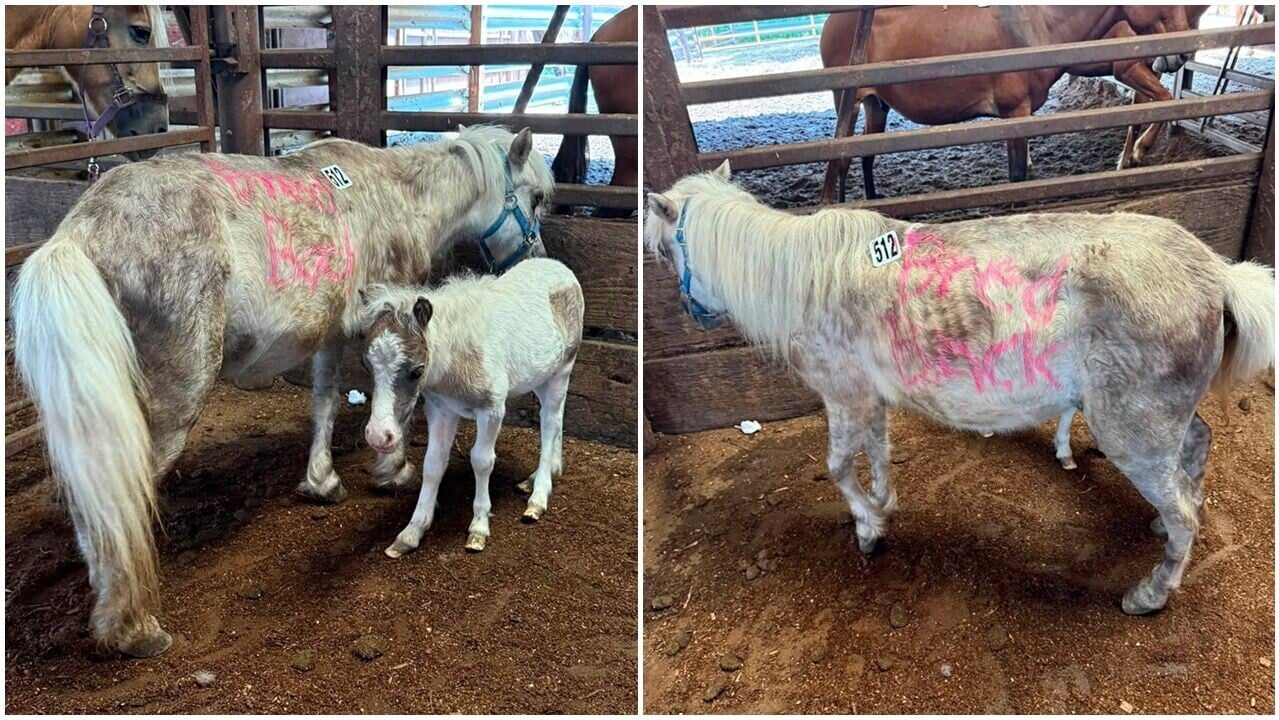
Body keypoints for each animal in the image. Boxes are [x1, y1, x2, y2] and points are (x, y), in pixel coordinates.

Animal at [11, 125, 555, 658]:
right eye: (536, 197)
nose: (536, 256)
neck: (399, 194)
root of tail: (81, 230)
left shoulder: (331, 333)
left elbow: (325, 402)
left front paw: (321, 479)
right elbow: (391, 402)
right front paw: (392, 468)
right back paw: (133, 626)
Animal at [359, 258, 582, 557]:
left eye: (417, 371)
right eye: (367, 365)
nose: (378, 436)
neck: (457, 358)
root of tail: (561, 268)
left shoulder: (492, 410)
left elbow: (481, 461)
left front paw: (478, 528)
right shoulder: (441, 410)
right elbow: (433, 463)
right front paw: (410, 533)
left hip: (562, 370)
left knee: (549, 424)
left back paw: (538, 496)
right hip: (540, 376)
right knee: (556, 420)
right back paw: (541, 476)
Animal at [646, 161, 1274, 615]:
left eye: (667, 248)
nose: (691, 311)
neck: (808, 277)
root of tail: (1217, 273)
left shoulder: (843, 394)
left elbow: (838, 466)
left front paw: (869, 527)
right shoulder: (870, 399)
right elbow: (878, 449)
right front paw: (884, 502)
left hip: (1132, 430)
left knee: (1185, 511)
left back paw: (1150, 593)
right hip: (1164, 419)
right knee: (1197, 448)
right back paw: (1162, 525)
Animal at [819, 6, 1197, 202]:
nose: (1182, 53)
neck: (1036, 26)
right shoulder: (1015, 113)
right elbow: (1017, 177)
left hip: (876, 104)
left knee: (864, 155)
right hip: (848, 104)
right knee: (840, 161)